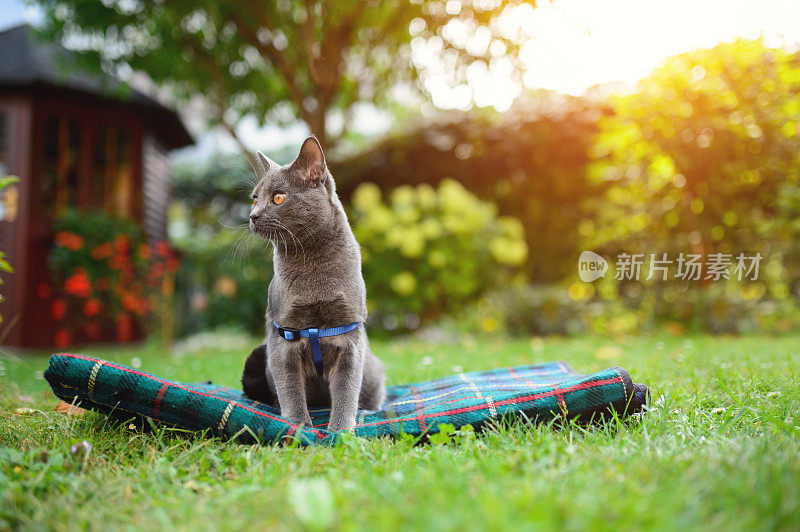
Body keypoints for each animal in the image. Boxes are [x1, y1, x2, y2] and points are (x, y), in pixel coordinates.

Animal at [239, 136, 386, 432]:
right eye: (254, 199)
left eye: (278, 197)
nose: (253, 216)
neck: (311, 263)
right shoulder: (284, 337)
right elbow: (291, 390)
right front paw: (298, 426)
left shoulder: (349, 336)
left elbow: (346, 390)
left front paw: (341, 429)